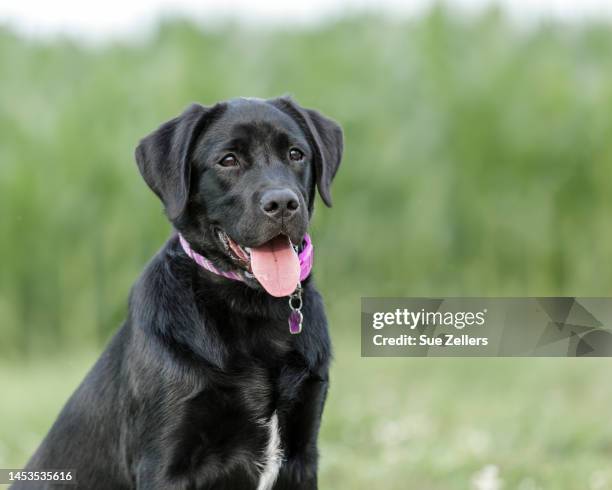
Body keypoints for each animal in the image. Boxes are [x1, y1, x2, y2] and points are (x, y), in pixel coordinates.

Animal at [17, 96, 344, 490]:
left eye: (296, 154)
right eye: (228, 160)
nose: (282, 203)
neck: (254, 309)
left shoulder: (302, 453)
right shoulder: (165, 462)